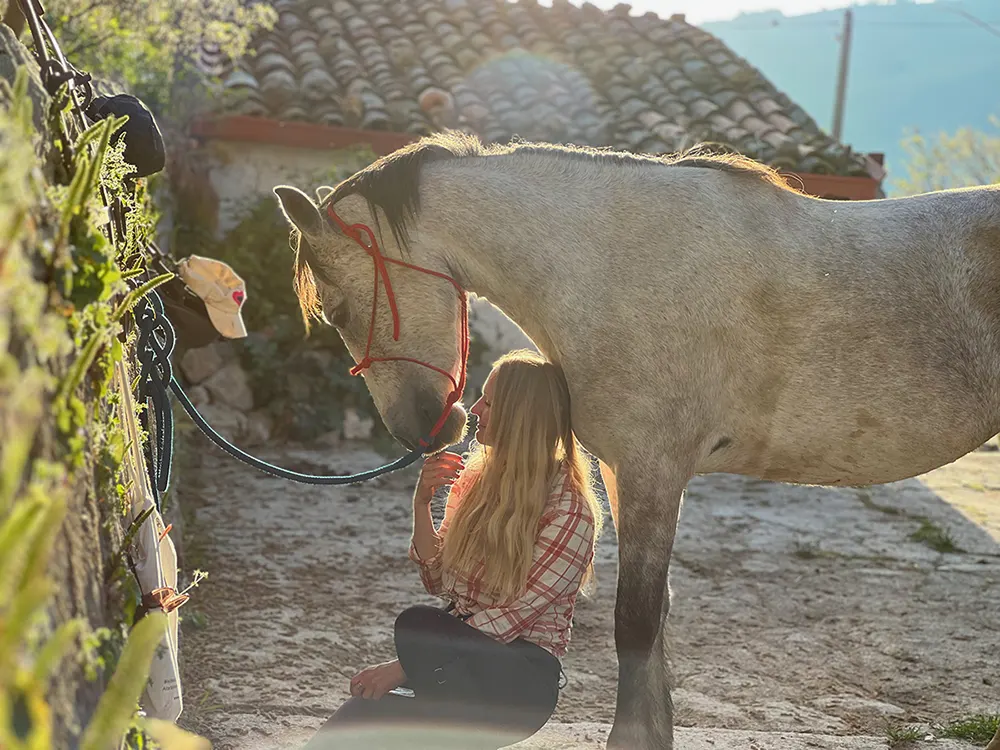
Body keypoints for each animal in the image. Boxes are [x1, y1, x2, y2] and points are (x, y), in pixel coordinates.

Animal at [274, 132, 1000, 750]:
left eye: (338, 309)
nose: (421, 430)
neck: (617, 266)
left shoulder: (655, 470)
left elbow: (636, 621)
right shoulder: (628, 474)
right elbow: (656, 623)